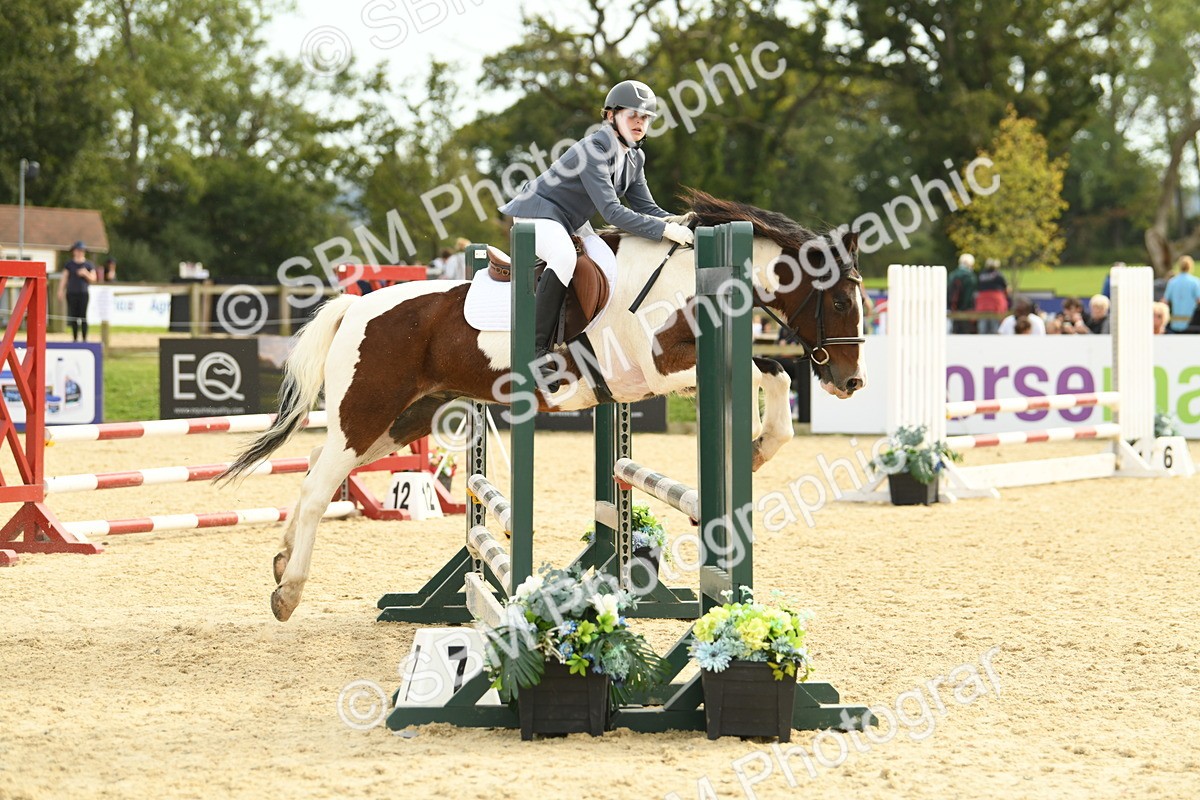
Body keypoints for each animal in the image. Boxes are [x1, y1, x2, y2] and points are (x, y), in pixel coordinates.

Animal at [220, 190, 868, 621]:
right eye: (838, 301)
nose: (851, 382)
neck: (686, 278)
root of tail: (356, 305)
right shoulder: (660, 367)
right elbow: (769, 371)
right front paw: (756, 447)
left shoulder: (658, 381)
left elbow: (773, 373)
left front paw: (758, 449)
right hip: (367, 415)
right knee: (318, 486)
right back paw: (288, 592)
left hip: (399, 421)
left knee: (314, 475)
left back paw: (280, 563)